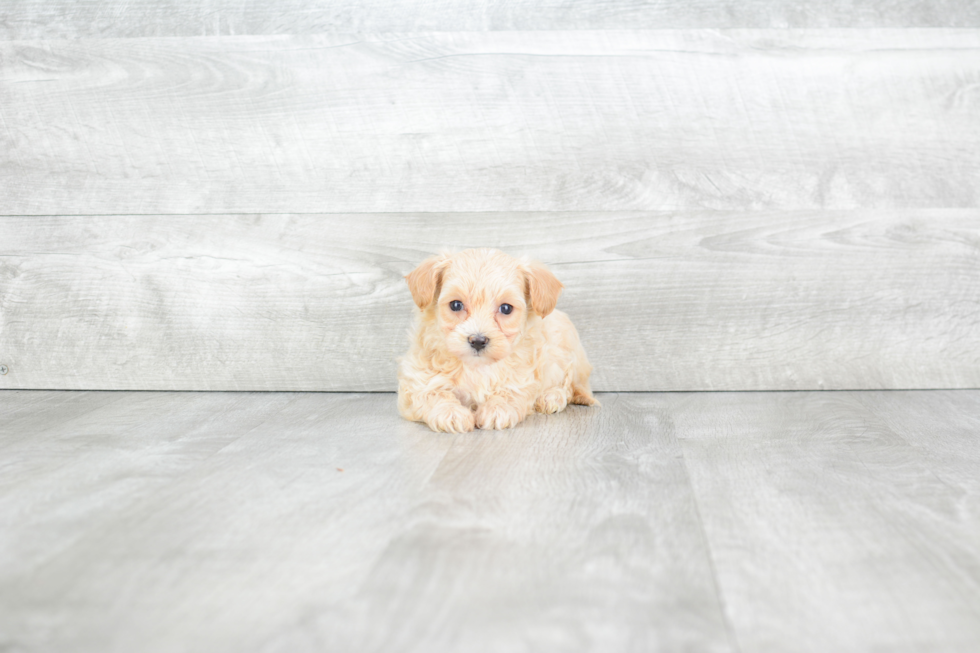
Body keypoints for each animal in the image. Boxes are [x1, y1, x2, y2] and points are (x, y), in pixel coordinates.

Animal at [396, 250, 596, 432]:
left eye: (506, 308)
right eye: (456, 305)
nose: (477, 341)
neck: (476, 367)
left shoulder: (523, 376)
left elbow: (510, 390)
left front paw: (497, 409)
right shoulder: (417, 378)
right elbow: (432, 393)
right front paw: (450, 413)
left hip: (566, 349)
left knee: (569, 386)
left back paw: (551, 397)